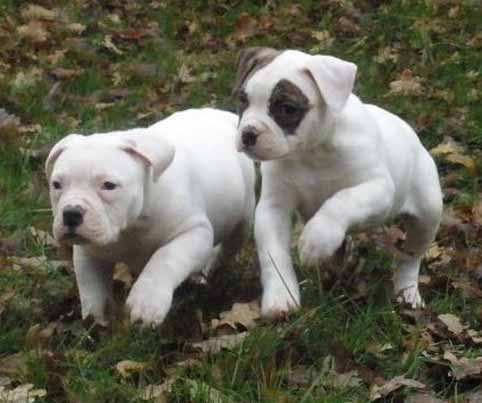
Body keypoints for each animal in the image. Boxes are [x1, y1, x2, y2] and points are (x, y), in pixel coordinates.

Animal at [45, 108, 256, 328]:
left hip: (243, 217)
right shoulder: (88, 251)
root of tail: (221, 114)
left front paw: (146, 302)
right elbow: (91, 286)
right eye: (57, 185)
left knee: (228, 247)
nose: (71, 213)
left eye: (109, 185)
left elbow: (164, 257)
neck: (130, 227)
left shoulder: (193, 232)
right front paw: (95, 322)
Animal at [234, 46, 444, 318]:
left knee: (410, 256)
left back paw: (407, 293)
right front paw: (280, 297)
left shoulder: (377, 188)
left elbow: (342, 200)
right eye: (243, 100)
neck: (312, 152)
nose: (248, 133)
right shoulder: (273, 208)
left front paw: (316, 240)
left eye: (288, 109)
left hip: (427, 212)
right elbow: (273, 254)